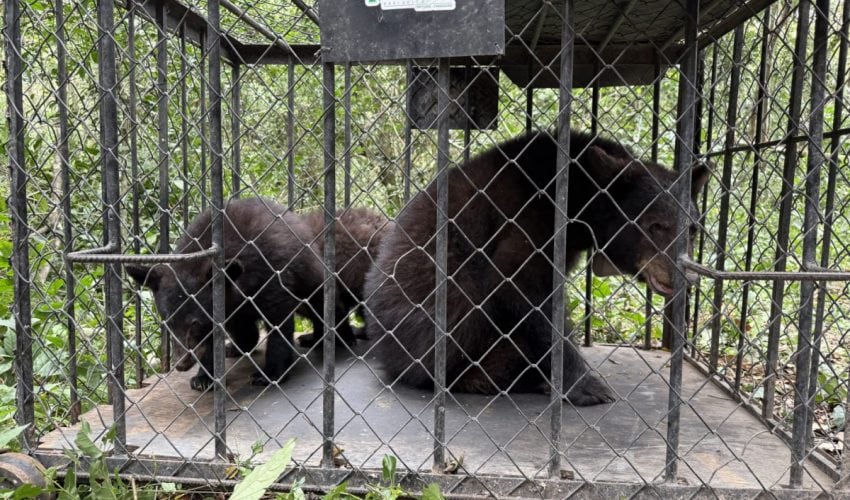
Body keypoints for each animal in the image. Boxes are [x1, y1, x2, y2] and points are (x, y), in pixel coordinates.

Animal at [126, 197, 336, 391]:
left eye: (194, 323)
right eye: (168, 323)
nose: (181, 364)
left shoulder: (273, 275)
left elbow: (278, 324)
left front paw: (270, 374)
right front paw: (204, 378)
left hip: (312, 277)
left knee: (320, 307)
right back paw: (236, 346)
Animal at [363, 131, 708, 406]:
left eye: (693, 229)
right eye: (655, 225)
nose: (686, 276)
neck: (578, 194)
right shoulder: (531, 218)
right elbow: (519, 284)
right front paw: (587, 386)